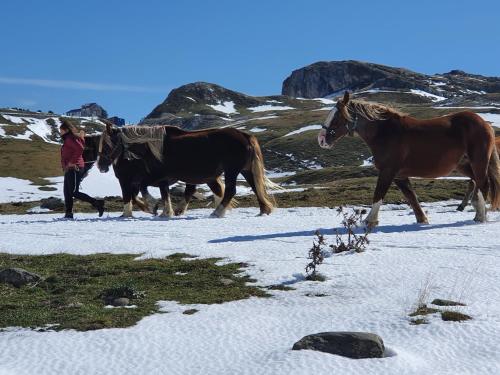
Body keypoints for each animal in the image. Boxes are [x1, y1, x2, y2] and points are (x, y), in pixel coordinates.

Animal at [318, 92, 498, 226]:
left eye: (337, 117)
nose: (321, 140)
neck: (385, 133)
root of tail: (484, 123)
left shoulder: (388, 171)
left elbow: (379, 194)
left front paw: (370, 221)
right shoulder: (399, 175)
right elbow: (411, 197)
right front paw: (422, 219)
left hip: (478, 161)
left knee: (483, 184)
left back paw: (481, 217)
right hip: (463, 165)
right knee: (477, 183)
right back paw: (477, 212)